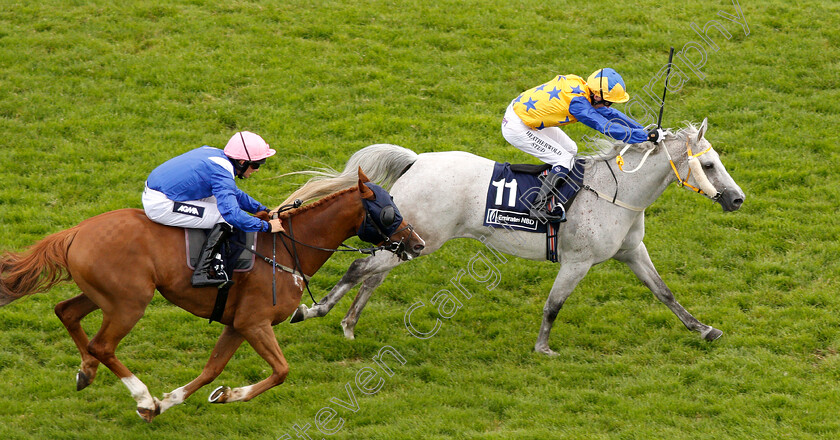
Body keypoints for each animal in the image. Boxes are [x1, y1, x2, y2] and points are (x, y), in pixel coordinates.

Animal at [0, 168, 420, 420]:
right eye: (388, 211)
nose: (416, 242)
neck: (287, 249)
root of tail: (76, 231)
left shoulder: (237, 324)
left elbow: (211, 369)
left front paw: (180, 399)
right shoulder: (255, 322)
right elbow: (282, 371)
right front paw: (219, 396)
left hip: (103, 295)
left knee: (66, 312)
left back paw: (87, 372)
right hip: (130, 303)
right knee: (103, 345)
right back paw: (140, 395)